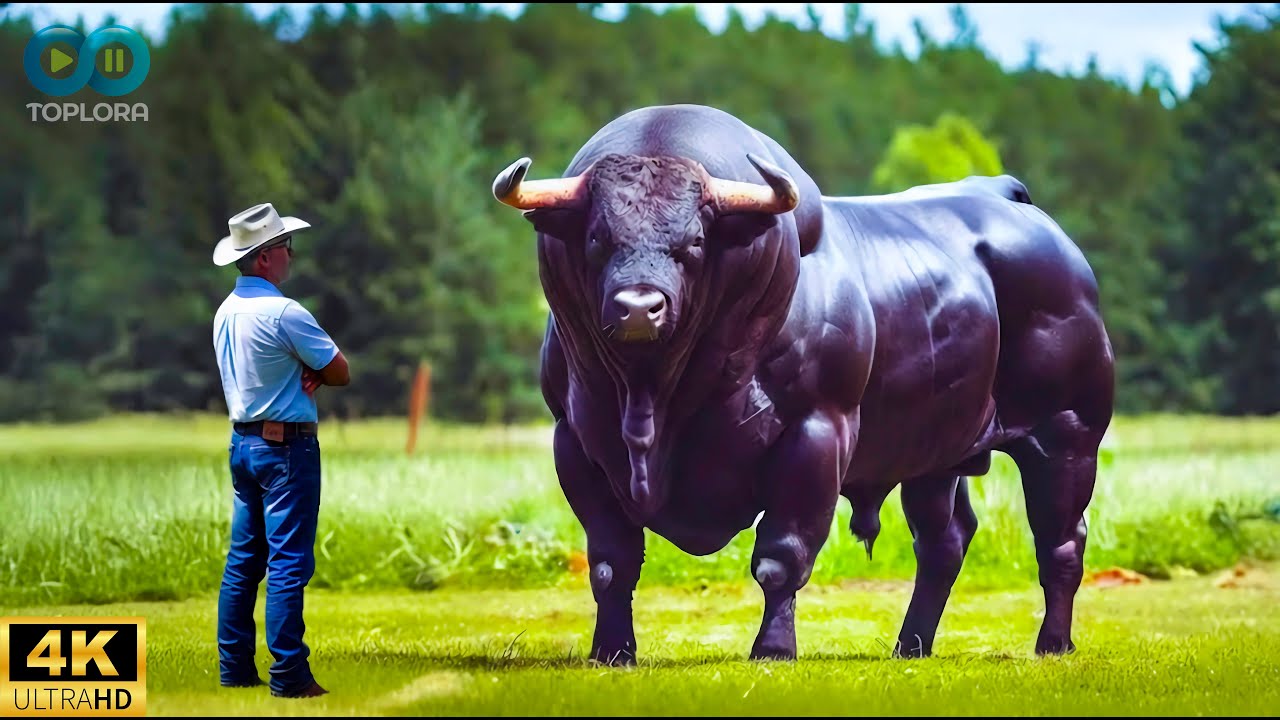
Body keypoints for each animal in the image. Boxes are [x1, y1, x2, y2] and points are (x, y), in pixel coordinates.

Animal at [490, 104, 1115, 664]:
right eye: (597, 238)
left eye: (695, 242)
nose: (638, 308)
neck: (654, 398)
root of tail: (1006, 196)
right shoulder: (576, 444)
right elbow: (610, 562)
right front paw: (612, 651)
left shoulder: (815, 434)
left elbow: (781, 556)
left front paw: (772, 648)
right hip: (934, 454)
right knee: (945, 542)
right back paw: (911, 646)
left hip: (1067, 435)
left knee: (1061, 541)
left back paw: (1052, 643)